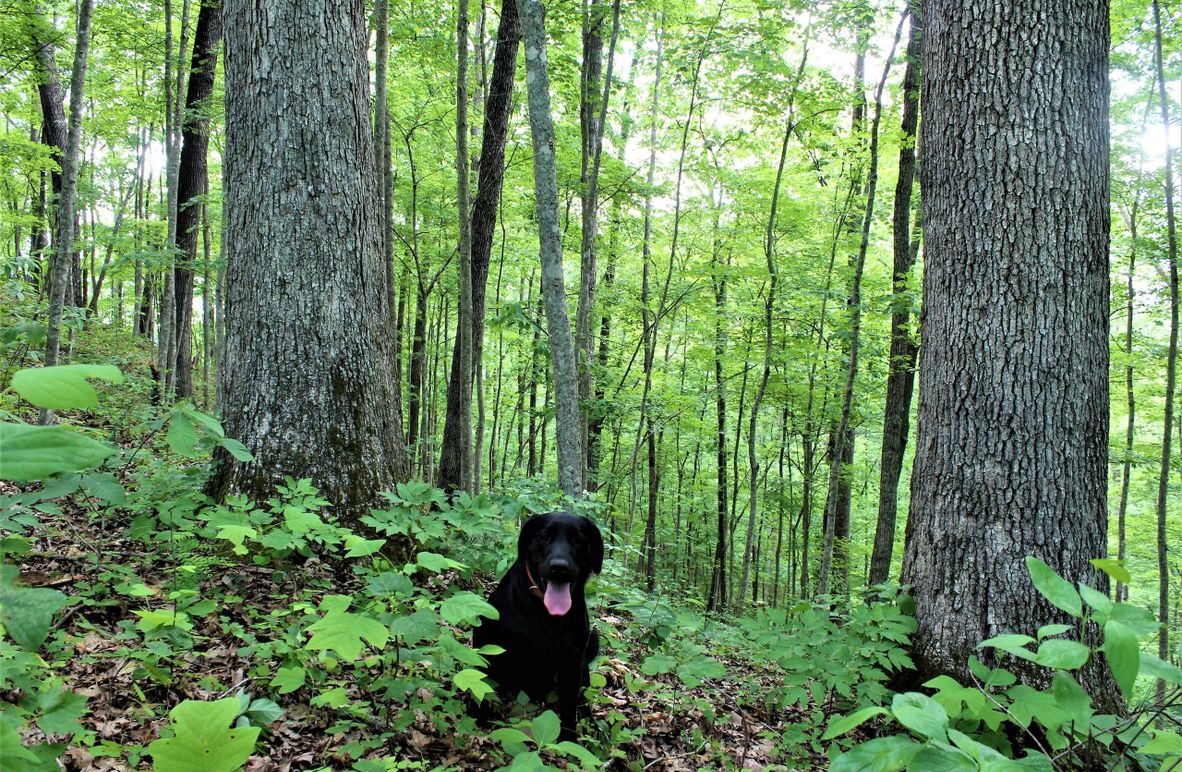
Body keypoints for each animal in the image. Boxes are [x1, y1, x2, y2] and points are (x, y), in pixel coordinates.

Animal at [470, 508, 600, 737]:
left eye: (578, 540)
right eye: (544, 537)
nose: (559, 567)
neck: (545, 614)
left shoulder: (572, 661)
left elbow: (569, 708)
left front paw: (569, 739)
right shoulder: (488, 643)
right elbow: (481, 684)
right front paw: (478, 718)